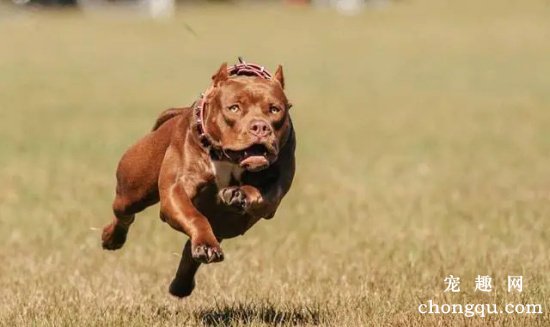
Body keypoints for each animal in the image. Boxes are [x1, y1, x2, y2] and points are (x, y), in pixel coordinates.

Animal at [101, 59, 296, 298]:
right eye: (234, 108)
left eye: (275, 110)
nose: (260, 127)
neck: (227, 157)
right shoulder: (176, 192)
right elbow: (194, 217)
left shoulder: (275, 190)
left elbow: (262, 196)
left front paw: (239, 194)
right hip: (132, 189)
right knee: (124, 213)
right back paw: (112, 238)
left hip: (224, 222)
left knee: (194, 245)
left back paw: (183, 282)